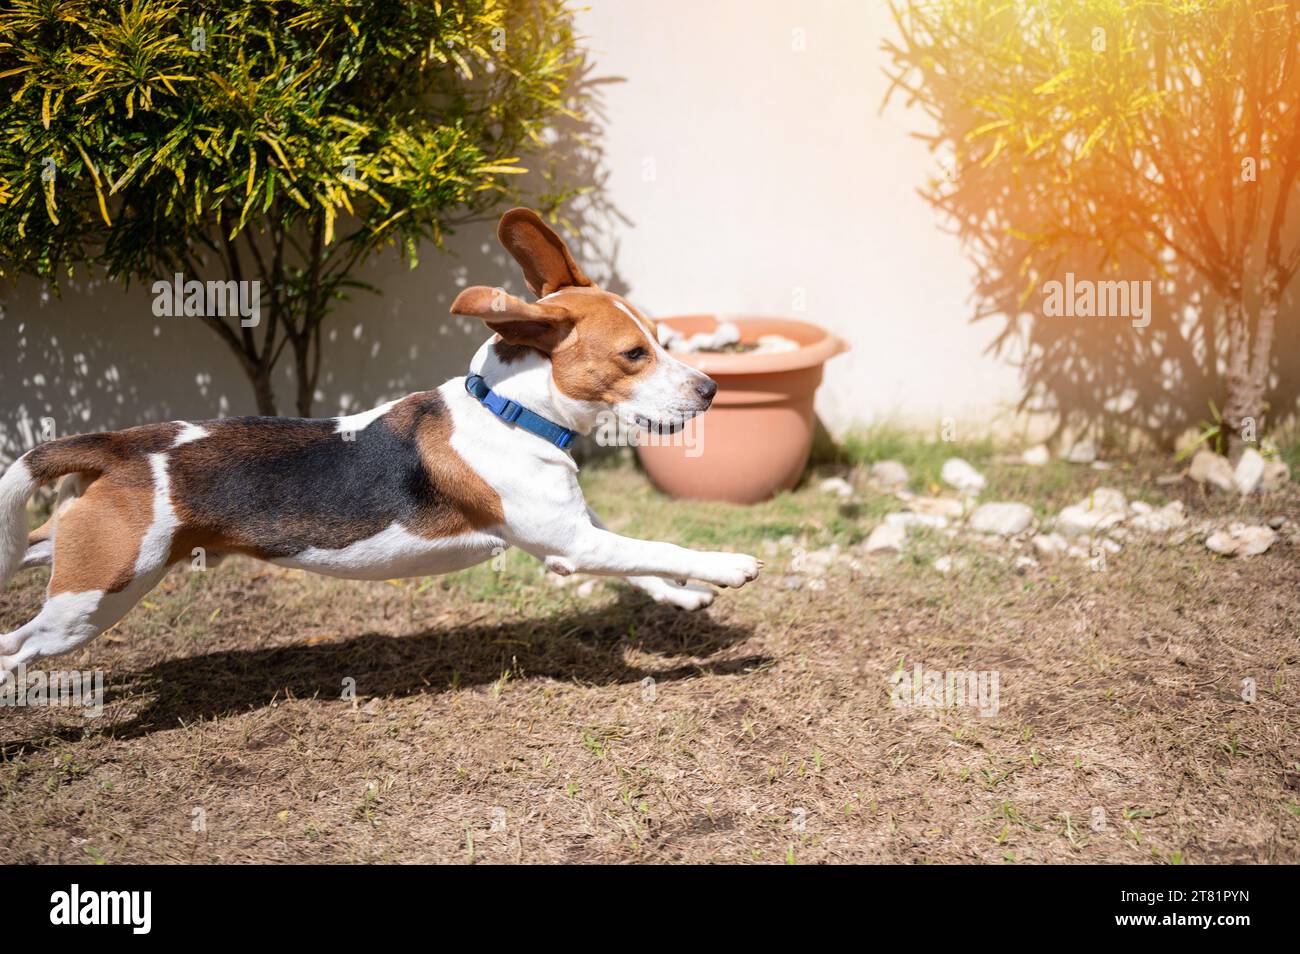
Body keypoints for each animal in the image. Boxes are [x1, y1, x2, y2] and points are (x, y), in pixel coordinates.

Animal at [0, 213, 764, 686]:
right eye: (635, 354)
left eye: (658, 339)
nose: (711, 390)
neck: (509, 412)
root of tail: (118, 445)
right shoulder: (571, 543)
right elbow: (657, 545)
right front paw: (725, 566)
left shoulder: (576, 528)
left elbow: (641, 562)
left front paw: (682, 597)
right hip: (97, 596)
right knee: (18, 651)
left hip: (79, 557)